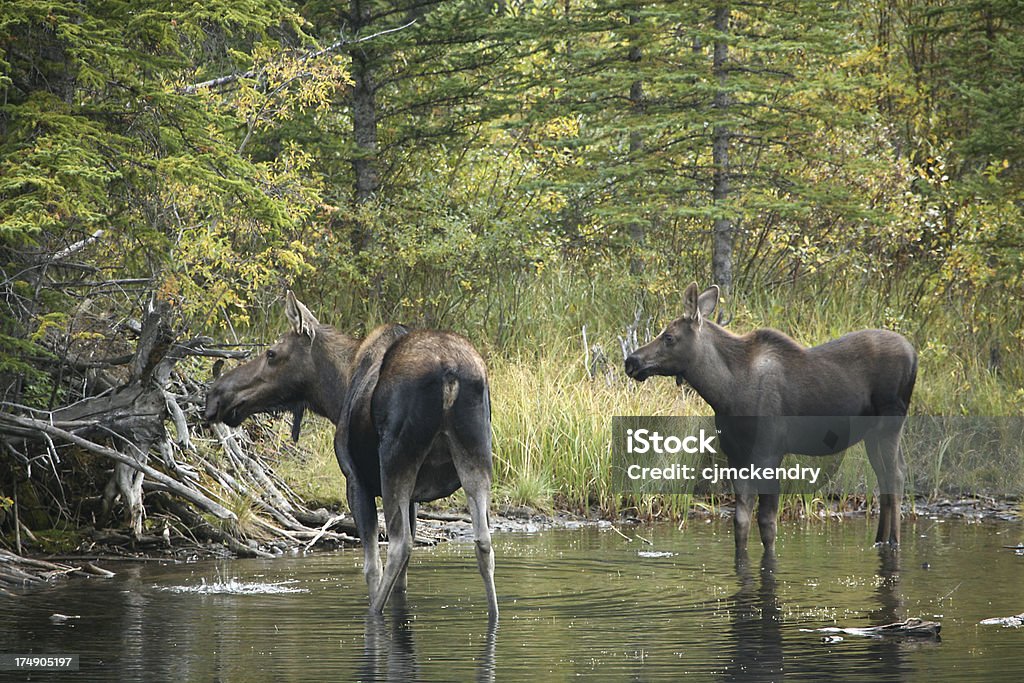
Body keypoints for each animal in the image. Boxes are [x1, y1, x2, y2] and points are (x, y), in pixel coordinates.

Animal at [201, 294, 497, 618]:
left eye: (272, 353)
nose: (216, 395)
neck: (336, 392)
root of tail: (449, 373)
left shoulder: (355, 480)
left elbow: (372, 566)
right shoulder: (414, 499)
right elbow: (403, 580)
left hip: (395, 460)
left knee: (398, 547)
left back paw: (373, 613)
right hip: (477, 455)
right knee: (483, 541)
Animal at [622, 282, 921, 557]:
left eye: (669, 337)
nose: (631, 361)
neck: (725, 392)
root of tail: (914, 354)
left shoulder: (769, 452)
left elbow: (767, 523)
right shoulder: (735, 454)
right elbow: (740, 521)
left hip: (891, 421)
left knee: (895, 474)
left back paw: (894, 542)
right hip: (872, 433)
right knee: (887, 475)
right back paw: (880, 541)